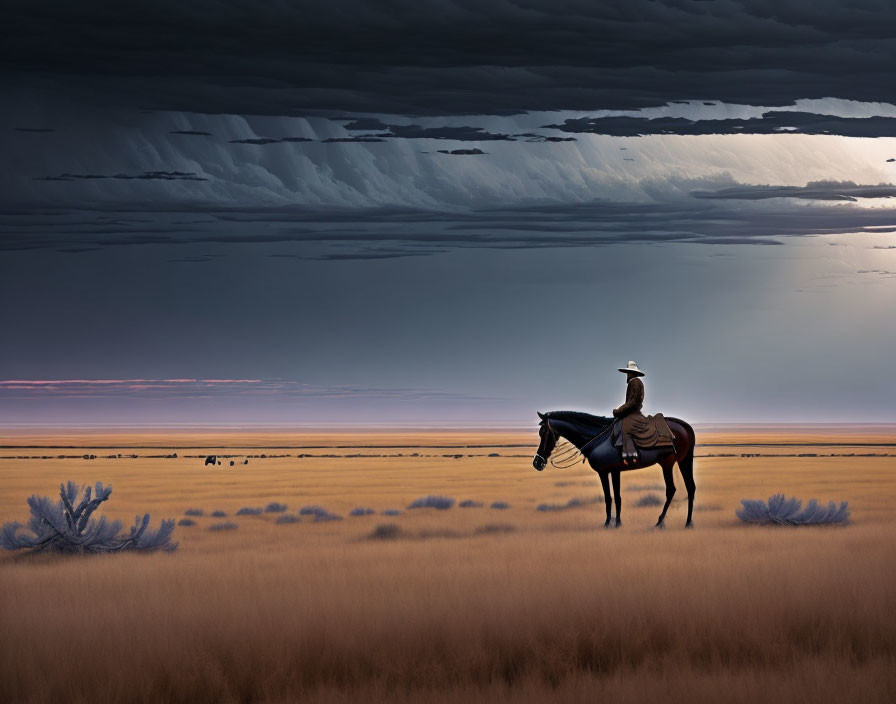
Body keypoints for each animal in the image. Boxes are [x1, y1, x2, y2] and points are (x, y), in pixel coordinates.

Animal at [532, 412, 700, 528]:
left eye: (543, 432)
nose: (537, 463)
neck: (598, 439)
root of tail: (683, 426)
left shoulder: (604, 472)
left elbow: (609, 497)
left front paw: (608, 523)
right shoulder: (614, 471)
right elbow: (616, 497)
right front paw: (617, 523)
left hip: (672, 463)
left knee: (676, 489)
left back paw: (663, 522)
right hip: (677, 462)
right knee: (686, 488)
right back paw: (685, 522)